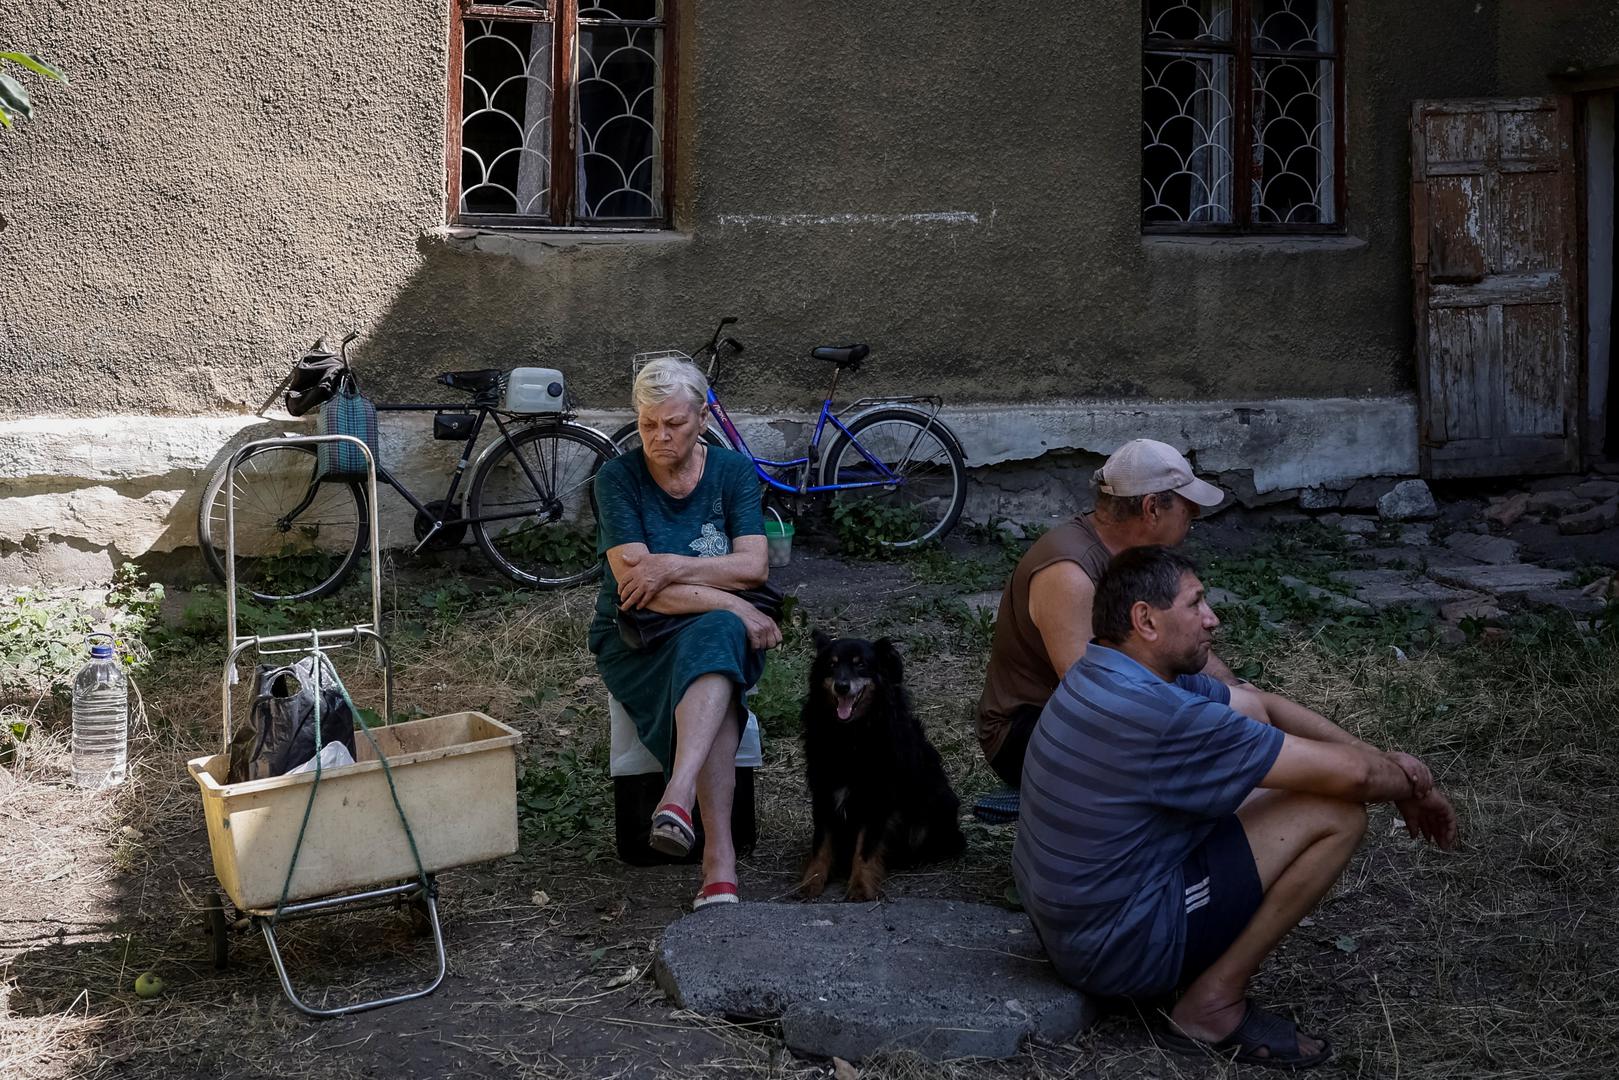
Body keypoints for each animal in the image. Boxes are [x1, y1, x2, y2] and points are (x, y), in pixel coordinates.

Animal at [796, 628, 958, 900]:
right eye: (832, 665)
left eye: (860, 664)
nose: (842, 687)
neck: (851, 734)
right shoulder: (824, 790)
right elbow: (821, 844)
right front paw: (811, 882)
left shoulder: (877, 798)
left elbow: (866, 848)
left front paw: (860, 886)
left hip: (935, 805)